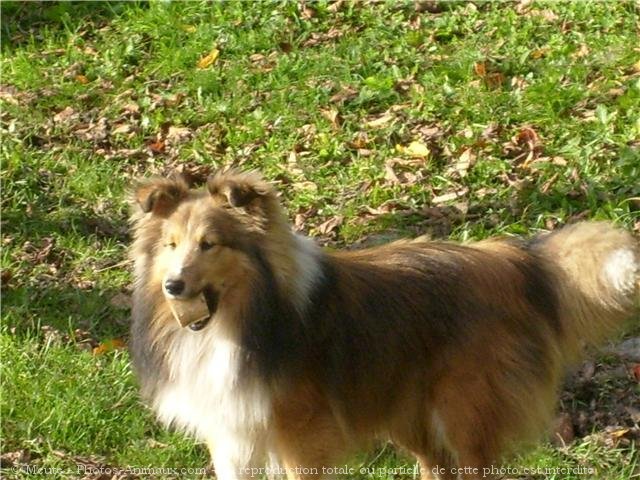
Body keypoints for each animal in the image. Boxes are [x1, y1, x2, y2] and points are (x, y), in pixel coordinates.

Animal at [127, 168, 636, 476]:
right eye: (171, 245)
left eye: (209, 244)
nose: (173, 286)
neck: (240, 323)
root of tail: (515, 260)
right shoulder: (231, 436)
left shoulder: (300, 437)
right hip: (409, 411)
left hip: (465, 412)